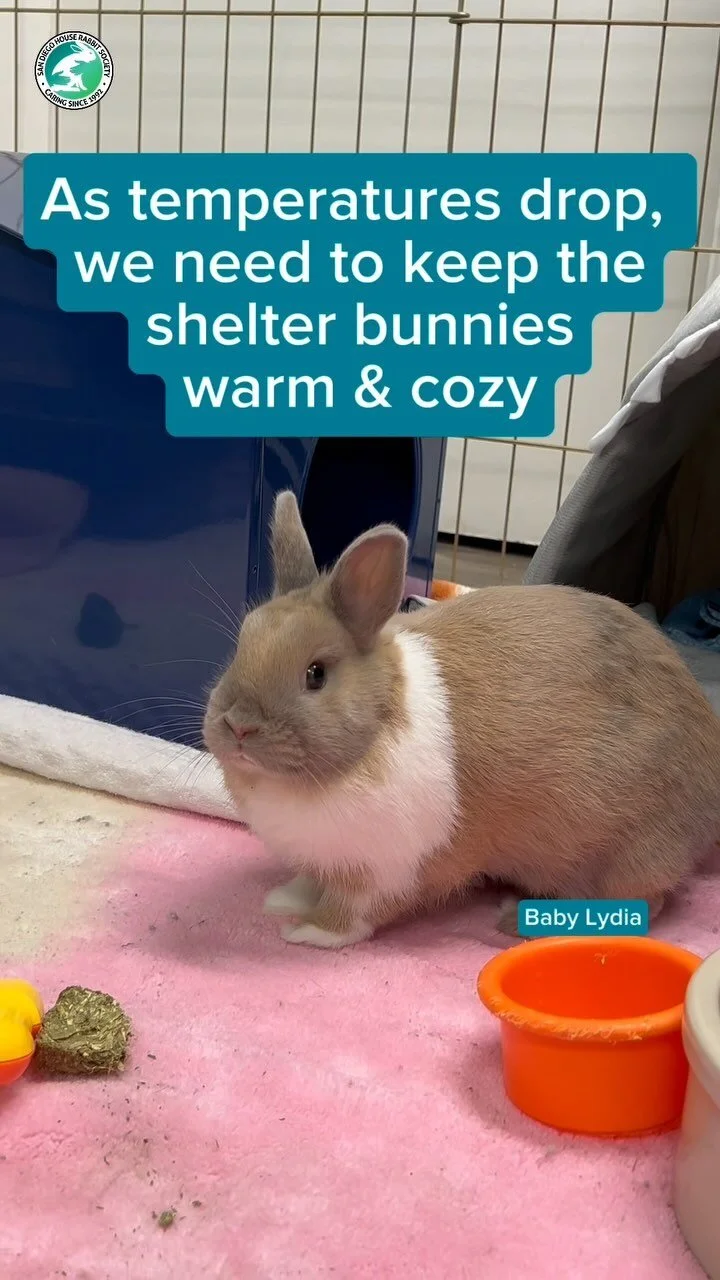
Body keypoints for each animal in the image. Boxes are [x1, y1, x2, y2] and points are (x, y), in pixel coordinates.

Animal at [202, 489, 720, 949]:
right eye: (240, 646)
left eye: (316, 674)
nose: (239, 726)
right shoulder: (325, 859)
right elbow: (311, 882)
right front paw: (283, 899)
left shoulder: (390, 867)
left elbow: (356, 913)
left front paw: (310, 931)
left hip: (623, 854)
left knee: (642, 903)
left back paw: (520, 921)